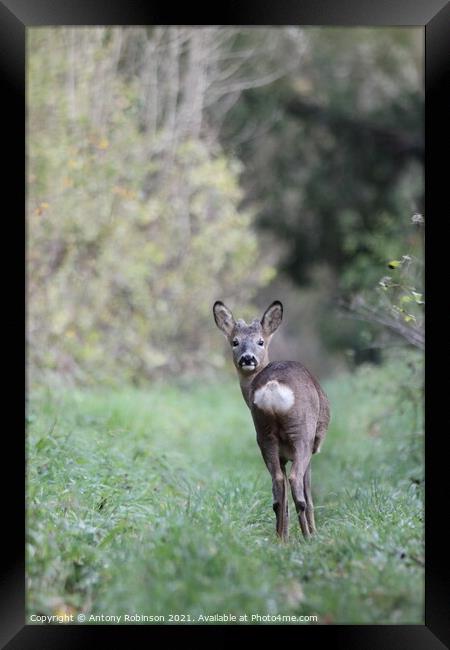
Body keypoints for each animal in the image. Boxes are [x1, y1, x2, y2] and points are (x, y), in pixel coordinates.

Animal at [213, 302, 328, 540]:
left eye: (260, 341)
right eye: (235, 341)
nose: (247, 358)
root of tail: (273, 387)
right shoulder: (313, 447)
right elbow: (309, 494)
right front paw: (315, 532)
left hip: (264, 434)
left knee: (278, 486)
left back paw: (280, 539)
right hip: (302, 433)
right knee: (296, 484)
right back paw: (307, 537)